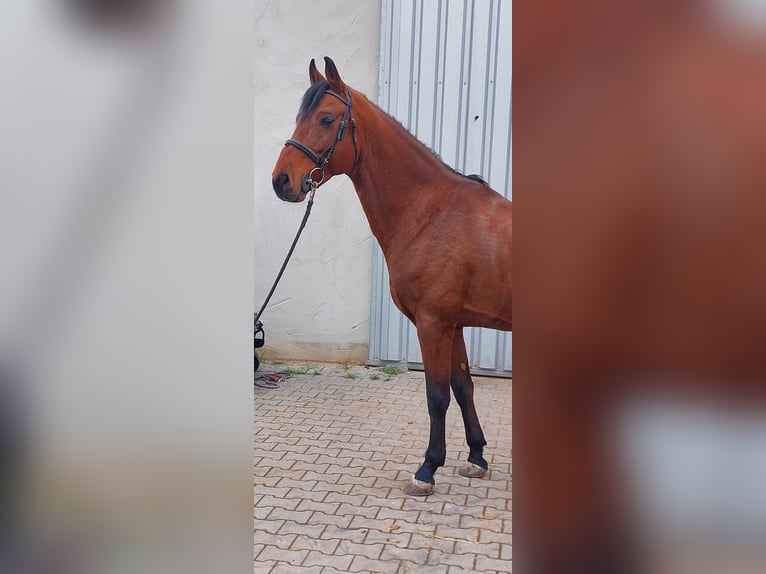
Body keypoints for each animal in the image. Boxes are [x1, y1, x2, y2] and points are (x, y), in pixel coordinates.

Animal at [272, 59, 512, 500]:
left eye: (326, 118)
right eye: (299, 117)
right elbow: (464, 387)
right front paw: (476, 458)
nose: (282, 181)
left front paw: (427, 470)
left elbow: (437, 396)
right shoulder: (454, 326)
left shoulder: (433, 324)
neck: (431, 213)